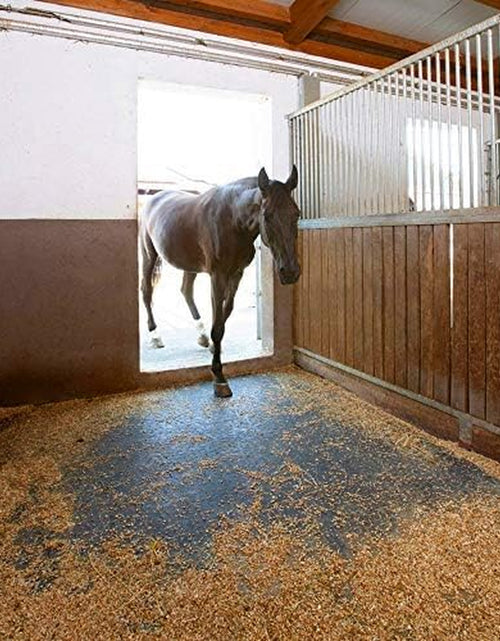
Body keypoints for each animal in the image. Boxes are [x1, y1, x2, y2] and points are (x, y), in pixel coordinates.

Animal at [139, 166, 301, 398]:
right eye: (267, 215)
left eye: (296, 213)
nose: (290, 272)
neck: (232, 220)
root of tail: (153, 199)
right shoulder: (217, 276)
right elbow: (218, 325)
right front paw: (219, 377)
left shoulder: (236, 274)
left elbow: (225, 315)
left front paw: (213, 348)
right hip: (149, 255)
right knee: (146, 291)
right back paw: (155, 336)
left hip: (189, 264)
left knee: (186, 291)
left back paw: (201, 335)